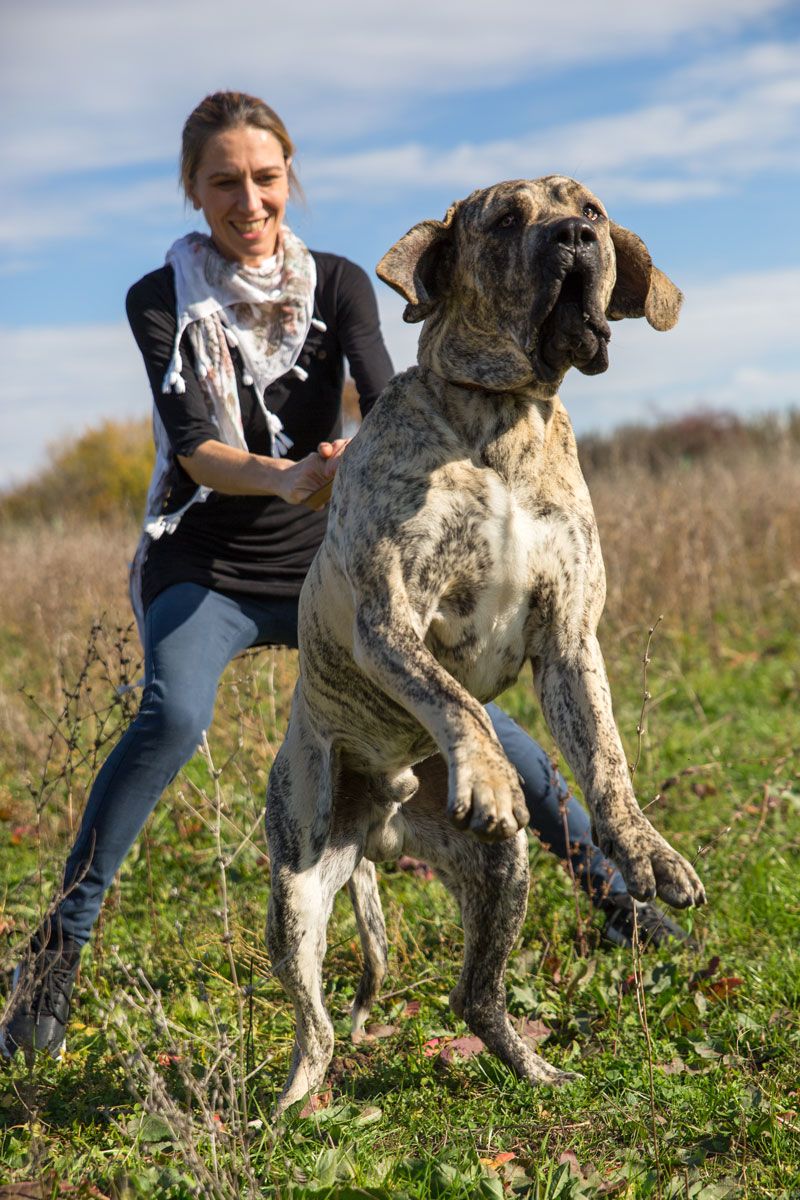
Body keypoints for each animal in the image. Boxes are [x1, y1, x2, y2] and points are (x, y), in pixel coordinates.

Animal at [263, 175, 705, 1104]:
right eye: (505, 220)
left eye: (593, 210)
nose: (575, 237)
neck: (504, 421)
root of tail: (385, 822)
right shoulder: (389, 617)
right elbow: (452, 696)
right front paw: (492, 774)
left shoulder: (571, 639)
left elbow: (607, 757)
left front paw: (646, 848)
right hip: (297, 886)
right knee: (314, 1023)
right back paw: (292, 1105)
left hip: (506, 873)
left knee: (475, 994)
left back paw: (539, 1071)